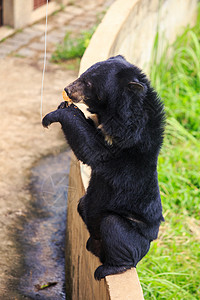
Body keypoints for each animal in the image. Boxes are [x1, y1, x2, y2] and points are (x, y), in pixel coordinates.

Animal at [41, 55, 165, 280]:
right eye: (83, 75)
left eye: (88, 83)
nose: (68, 89)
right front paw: (64, 105)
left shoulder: (126, 140)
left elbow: (93, 151)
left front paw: (56, 115)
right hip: (87, 207)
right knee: (82, 205)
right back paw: (91, 245)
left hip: (131, 233)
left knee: (113, 227)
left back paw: (107, 269)